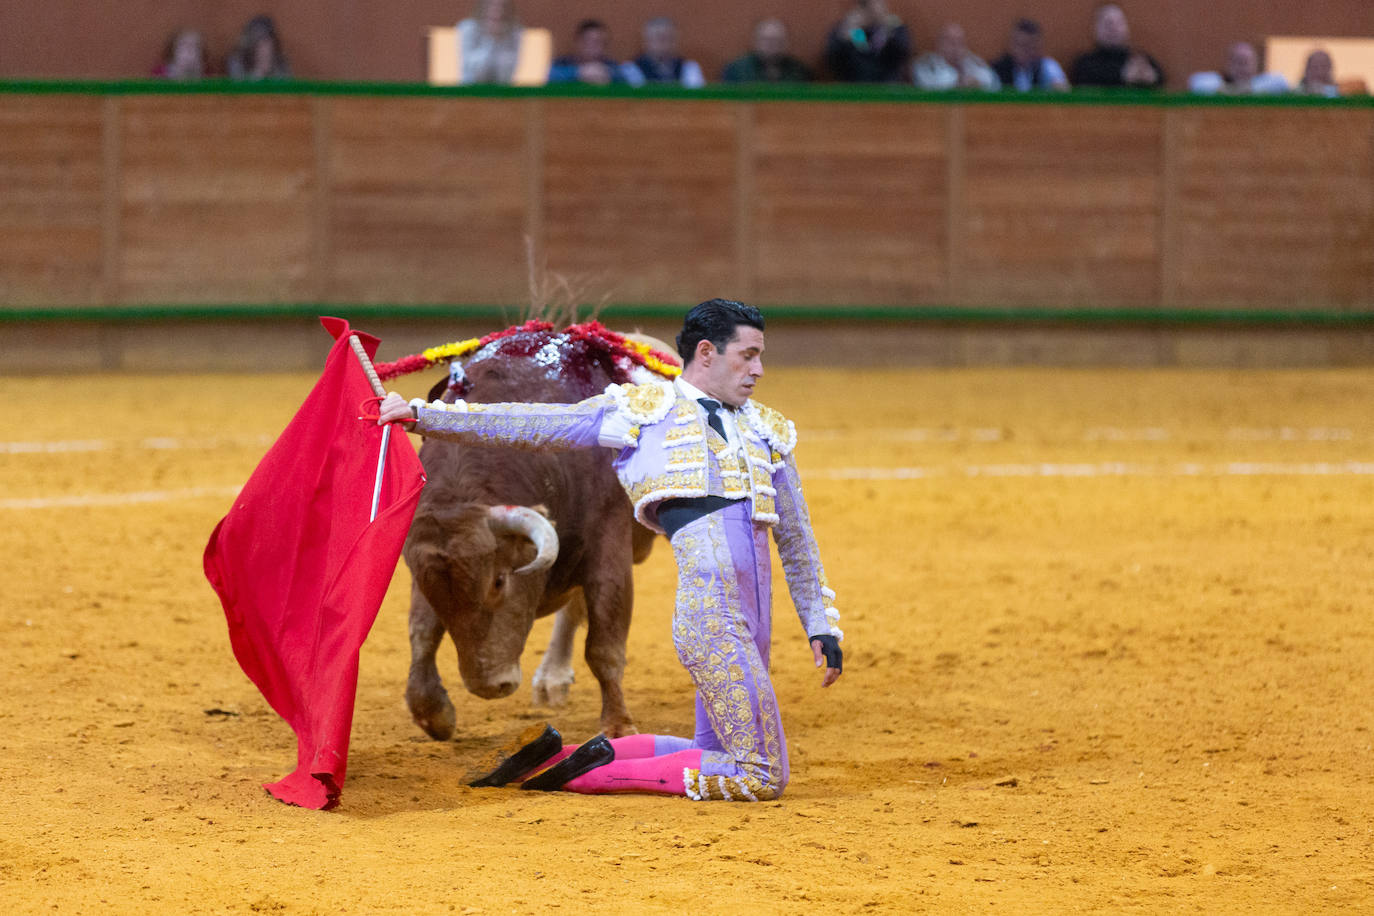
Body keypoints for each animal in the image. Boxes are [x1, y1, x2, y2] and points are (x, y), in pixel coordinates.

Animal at [401, 325, 667, 741]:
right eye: (431, 586)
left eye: (498, 581)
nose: (488, 686)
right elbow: (422, 630)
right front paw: (434, 713)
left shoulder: (608, 544)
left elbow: (604, 644)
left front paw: (619, 726)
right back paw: (552, 678)